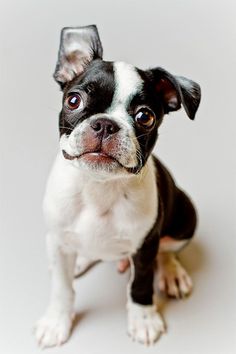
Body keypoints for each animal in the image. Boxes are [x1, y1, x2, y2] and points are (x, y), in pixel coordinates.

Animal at [34, 25, 201, 348]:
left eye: (145, 116)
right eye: (73, 101)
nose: (105, 124)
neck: (98, 188)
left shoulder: (145, 247)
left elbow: (141, 285)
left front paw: (144, 320)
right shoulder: (57, 240)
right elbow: (62, 288)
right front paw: (56, 321)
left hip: (186, 215)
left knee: (168, 250)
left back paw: (171, 273)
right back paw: (81, 260)